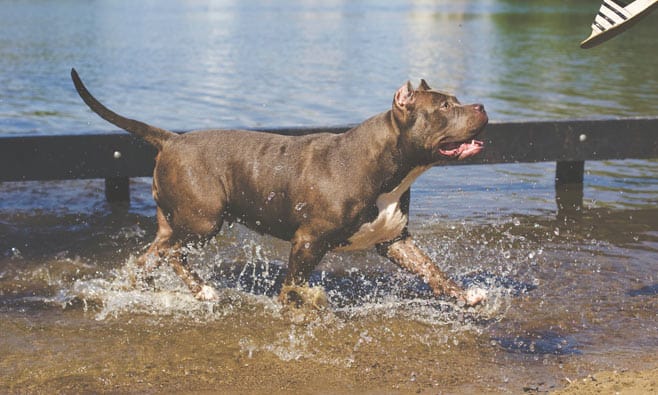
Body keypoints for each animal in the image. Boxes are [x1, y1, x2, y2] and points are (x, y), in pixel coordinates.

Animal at [70, 69, 486, 308]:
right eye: (445, 107)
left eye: (457, 101)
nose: (481, 106)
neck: (388, 166)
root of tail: (172, 140)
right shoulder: (308, 241)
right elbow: (293, 284)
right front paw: (296, 307)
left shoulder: (394, 239)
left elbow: (432, 270)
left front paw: (466, 295)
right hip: (203, 222)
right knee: (173, 253)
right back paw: (203, 291)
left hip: (177, 222)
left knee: (152, 254)